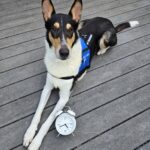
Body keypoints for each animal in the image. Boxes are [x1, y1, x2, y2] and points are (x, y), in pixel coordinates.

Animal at [22, 0, 139, 149]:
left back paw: (101, 51)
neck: (60, 64)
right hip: (82, 23)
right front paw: (29, 134)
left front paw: (36, 142)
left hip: (105, 37)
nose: (64, 53)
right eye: (54, 29)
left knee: (109, 44)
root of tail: (109, 22)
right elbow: (38, 113)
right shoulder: (47, 88)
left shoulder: (64, 97)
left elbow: (48, 120)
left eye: (70, 30)